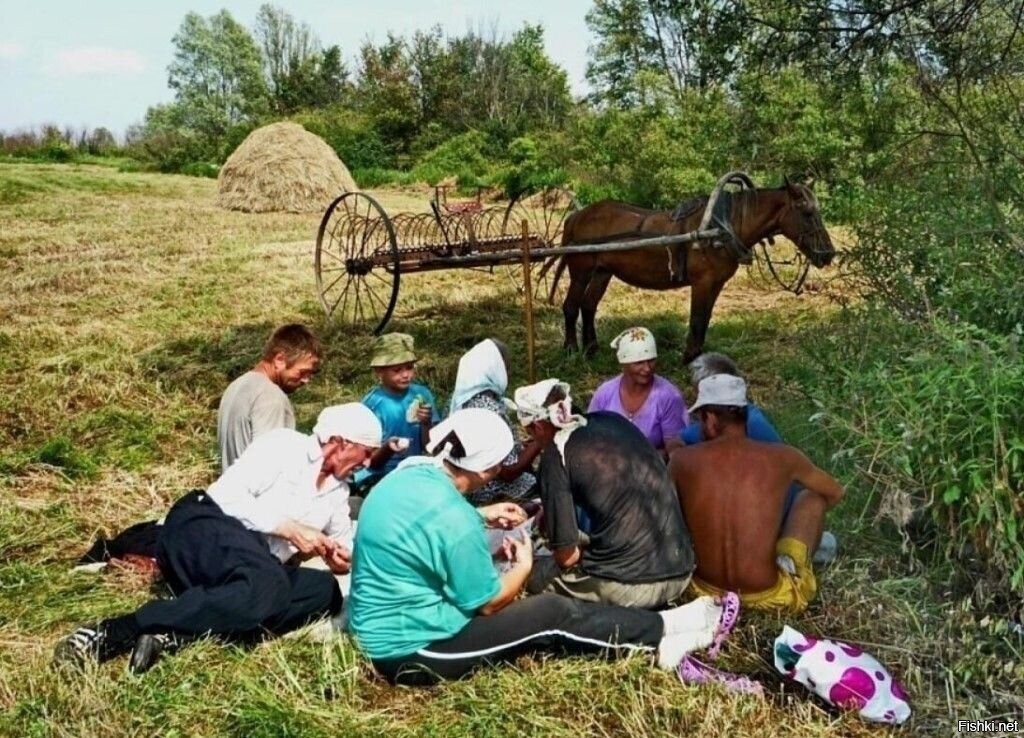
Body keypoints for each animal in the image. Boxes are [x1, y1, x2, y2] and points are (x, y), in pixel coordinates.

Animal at [552, 179, 831, 362]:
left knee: (588, 306)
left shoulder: (716, 284)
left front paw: (698, 356)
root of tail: (576, 216)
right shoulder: (702, 282)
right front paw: (688, 358)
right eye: (807, 212)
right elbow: (696, 320)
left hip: (602, 272)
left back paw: (591, 349)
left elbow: (705, 319)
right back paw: (570, 349)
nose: (828, 254)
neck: (722, 227)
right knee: (571, 306)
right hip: (580, 271)